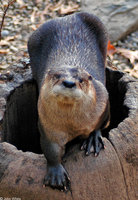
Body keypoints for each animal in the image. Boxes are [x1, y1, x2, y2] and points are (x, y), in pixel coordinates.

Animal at [27, 12, 110, 191]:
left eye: (81, 80)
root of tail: (67, 18)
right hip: (33, 40)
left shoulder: (104, 100)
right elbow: (51, 149)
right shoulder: (47, 125)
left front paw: (93, 139)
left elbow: (100, 123)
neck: (73, 125)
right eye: (56, 76)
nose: (69, 83)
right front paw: (56, 174)